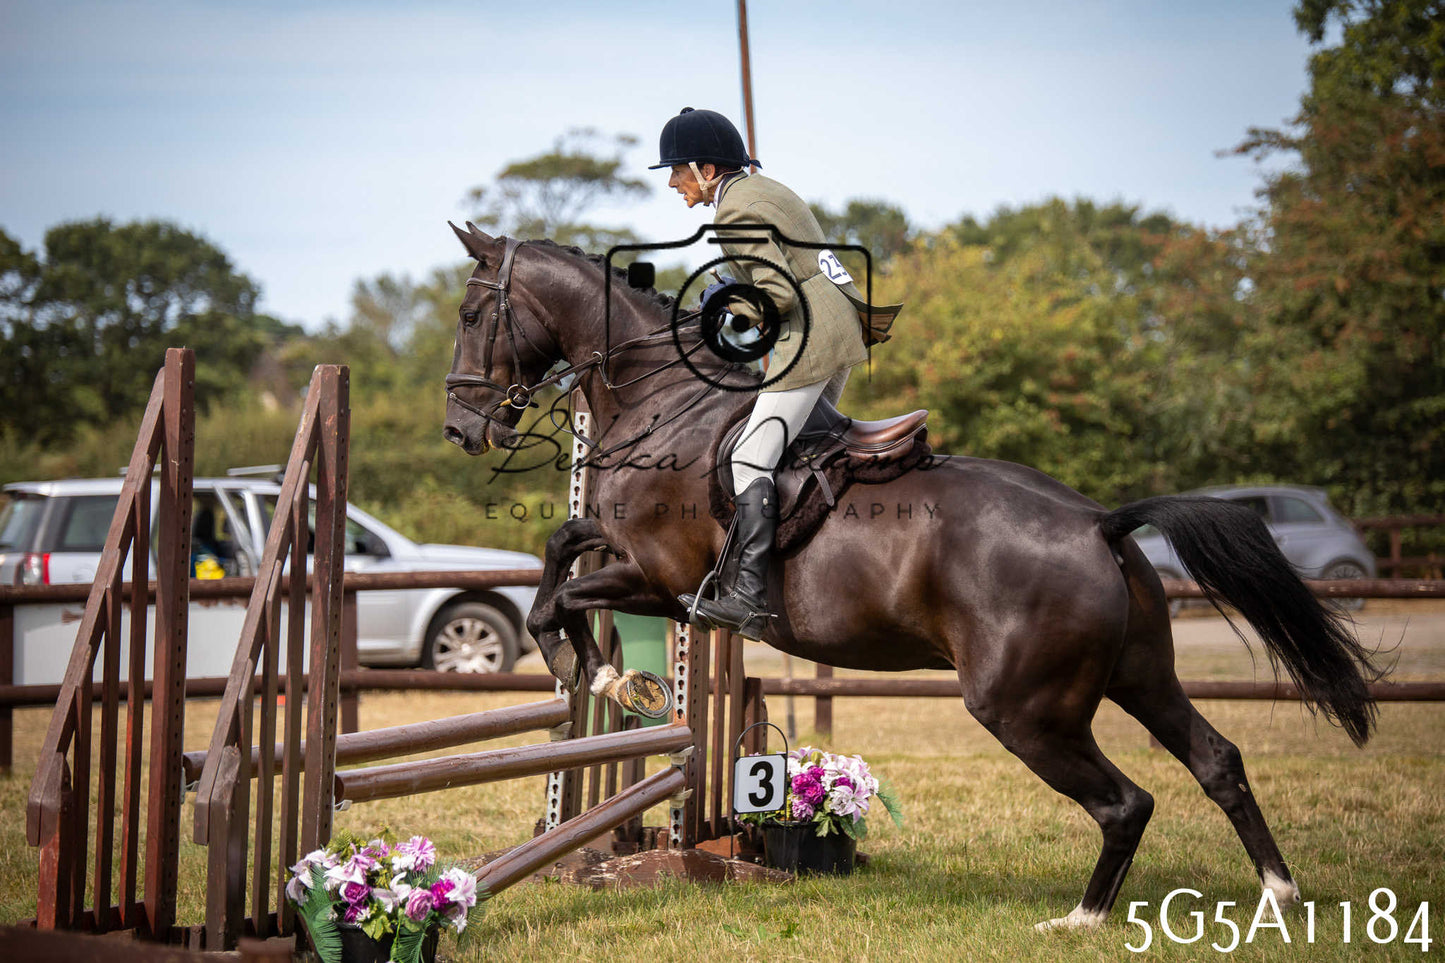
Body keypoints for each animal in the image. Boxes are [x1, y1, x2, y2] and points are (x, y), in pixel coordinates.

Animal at [440, 225, 1381, 930]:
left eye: (471, 310)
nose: (460, 427)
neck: (663, 397)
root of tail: (1097, 523)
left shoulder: (659, 579)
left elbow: (560, 593)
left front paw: (602, 673)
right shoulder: (621, 553)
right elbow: (561, 543)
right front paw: (607, 673)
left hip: (1023, 707)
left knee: (1125, 801)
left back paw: (1080, 920)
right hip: (1139, 672)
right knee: (1216, 760)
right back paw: (1277, 894)